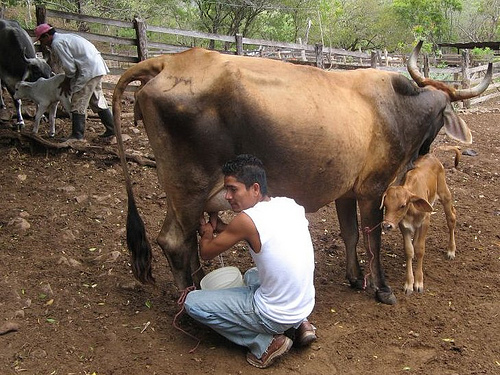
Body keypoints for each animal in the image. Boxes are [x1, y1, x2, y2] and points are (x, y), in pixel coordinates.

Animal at [380, 148, 458, 296]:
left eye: (402, 205)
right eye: (385, 204)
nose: (387, 225)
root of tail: (432, 154)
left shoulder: (425, 222)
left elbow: (420, 249)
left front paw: (418, 282)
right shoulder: (404, 226)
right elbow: (409, 250)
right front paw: (408, 283)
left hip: (444, 194)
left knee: (451, 218)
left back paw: (451, 250)